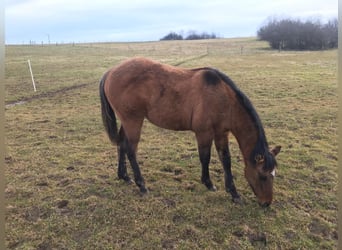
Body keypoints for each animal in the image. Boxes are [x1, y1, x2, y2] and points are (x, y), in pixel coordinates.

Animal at [99, 57, 280, 207]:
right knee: (130, 151)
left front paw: (233, 193)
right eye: (263, 176)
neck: (223, 97)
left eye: (273, 175)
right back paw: (141, 185)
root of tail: (111, 72)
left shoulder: (221, 133)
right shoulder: (203, 133)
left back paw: (124, 176)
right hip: (133, 121)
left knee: (121, 145)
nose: (266, 203)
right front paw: (208, 183)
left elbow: (225, 160)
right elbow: (205, 158)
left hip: (126, 121)